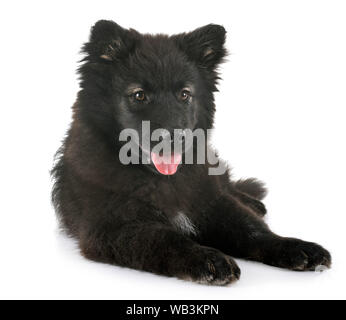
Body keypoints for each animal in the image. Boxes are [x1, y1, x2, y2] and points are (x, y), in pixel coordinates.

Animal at [52, 20, 332, 284]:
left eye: (184, 94)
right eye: (139, 95)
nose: (174, 138)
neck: (161, 179)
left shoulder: (211, 201)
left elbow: (251, 229)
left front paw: (295, 247)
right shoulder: (112, 226)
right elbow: (165, 239)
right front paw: (208, 259)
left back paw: (253, 201)